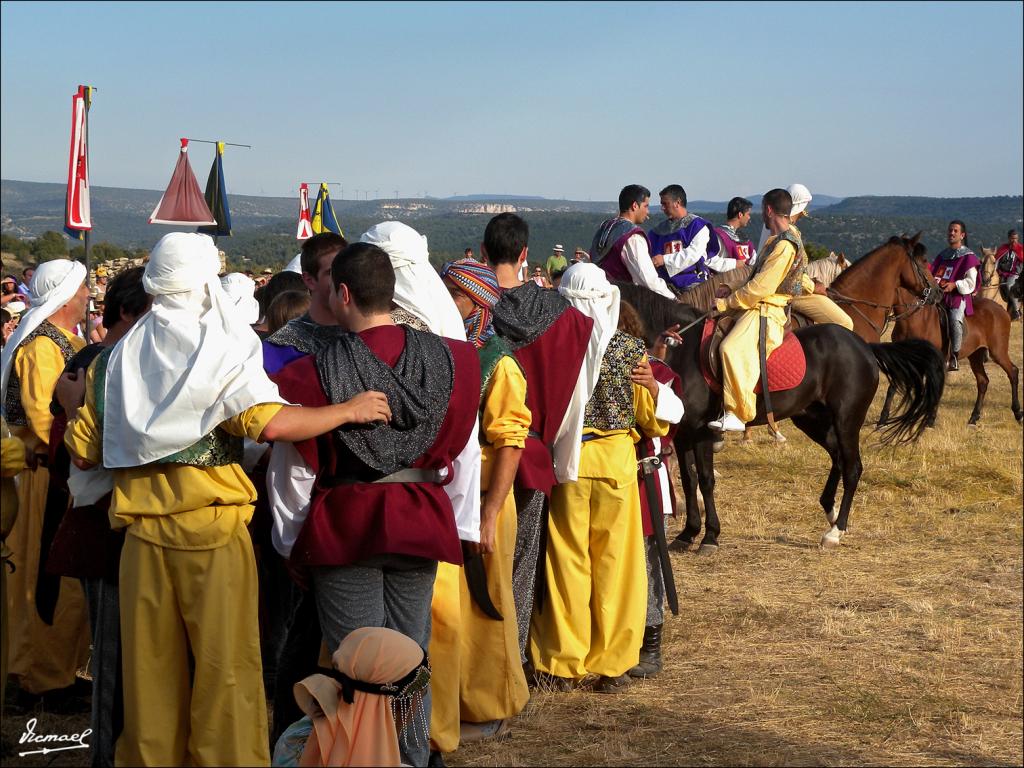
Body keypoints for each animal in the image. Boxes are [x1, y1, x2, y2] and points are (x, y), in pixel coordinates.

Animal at [827, 236, 1019, 428]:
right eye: (924, 262)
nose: (938, 292)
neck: (913, 319)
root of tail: (1000, 310)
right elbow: (893, 387)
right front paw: (883, 419)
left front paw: (928, 420)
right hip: (976, 355)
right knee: (983, 381)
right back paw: (973, 417)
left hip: (997, 351)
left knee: (1013, 372)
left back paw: (1017, 413)